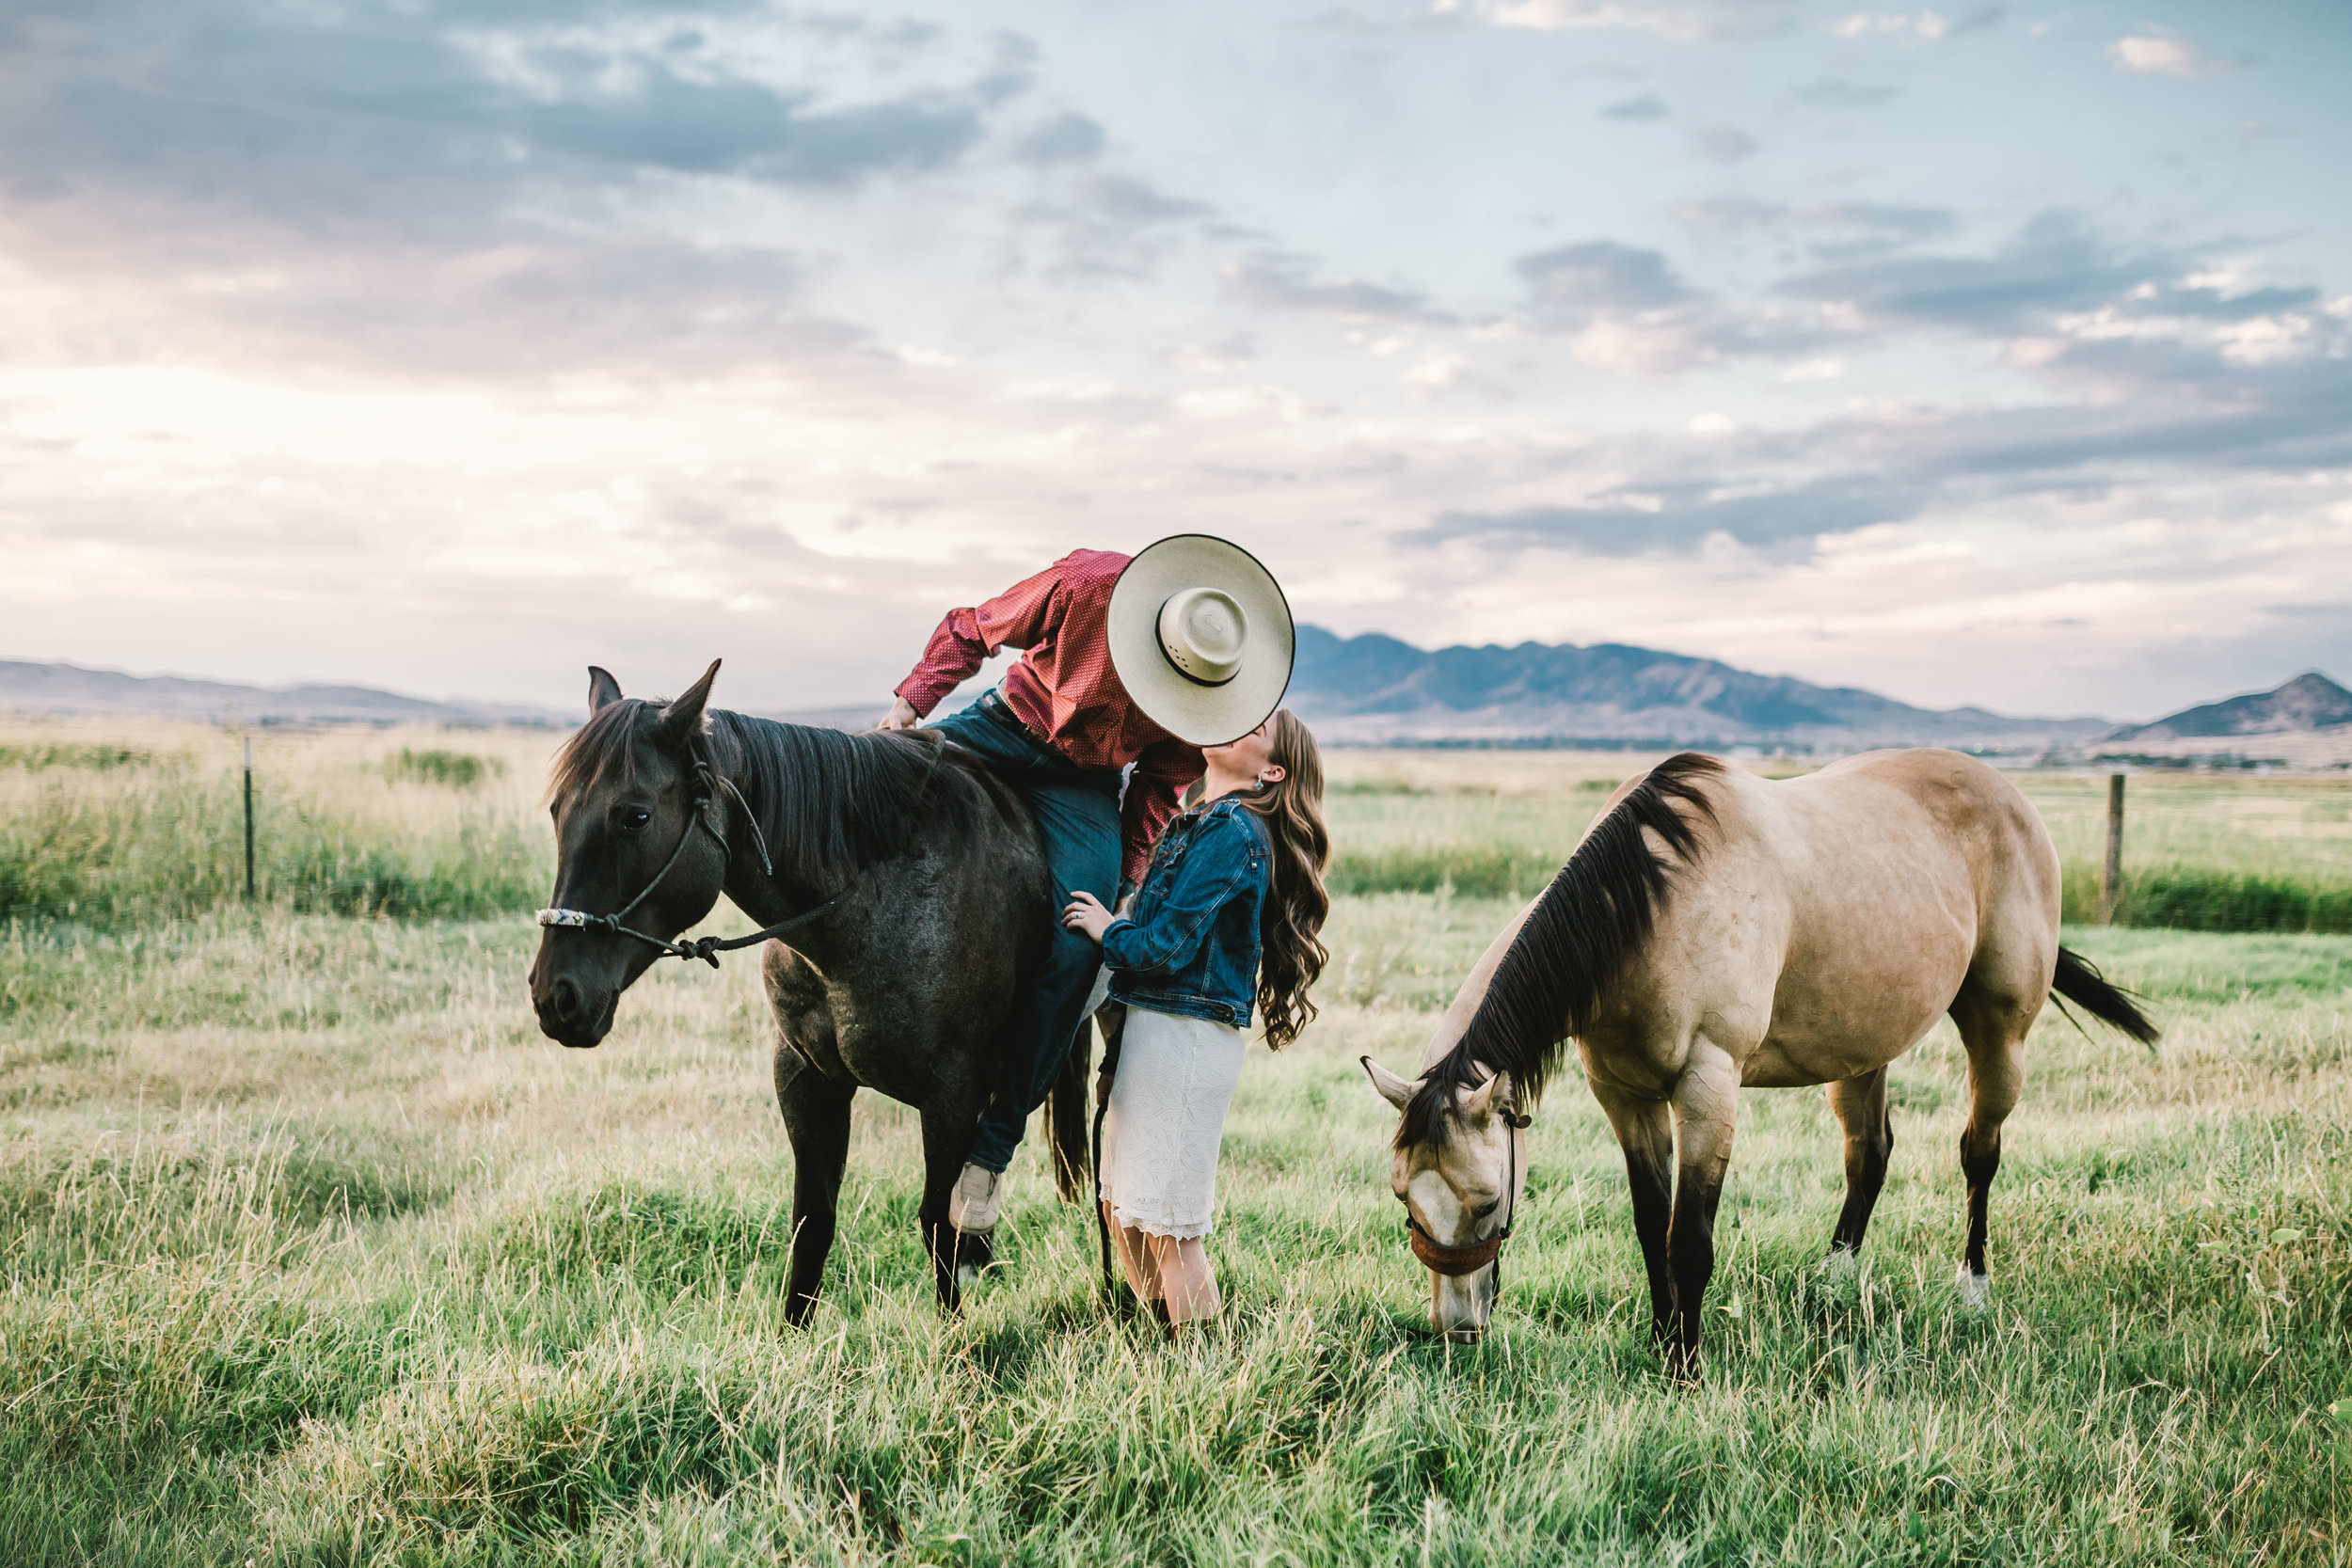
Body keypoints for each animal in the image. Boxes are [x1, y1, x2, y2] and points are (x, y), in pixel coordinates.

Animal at [524, 662, 1091, 1325]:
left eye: (634, 816)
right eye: (558, 811)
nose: (555, 997)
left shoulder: (953, 1095)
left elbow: (937, 1224)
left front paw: (959, 1340)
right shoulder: (804, 1077)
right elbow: (812, 1222)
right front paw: (792, 1335)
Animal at [1364, 747, 2154, 1372]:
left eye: (1486, 1200)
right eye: (1406, 1196)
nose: (1457, 1328)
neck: (1651, 907)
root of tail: (2010, 795)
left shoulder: (1708, 1086)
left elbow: (1689, 1239)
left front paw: (1684, 1368)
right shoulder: (1624, 1094)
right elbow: (1651, 1228)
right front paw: (1661, 1341)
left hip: (1999, 1031)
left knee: (1978, 1153)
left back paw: (1972, 1290)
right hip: (1861, 1048)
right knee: (1869, 1154)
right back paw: (1834, 1281)